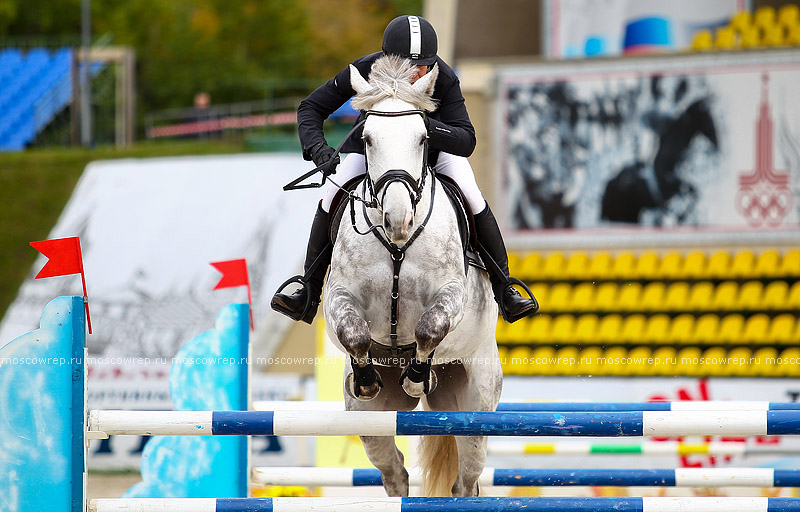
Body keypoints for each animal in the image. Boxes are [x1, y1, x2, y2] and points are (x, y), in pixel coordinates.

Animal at [324, 55, 500, 496]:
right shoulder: (339, 295)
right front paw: (365, 377)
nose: (398, 219)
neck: (397, 245)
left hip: (477, 402)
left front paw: (418, 378)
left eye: (423, 138)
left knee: (467, 479)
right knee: (394, 472)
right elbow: (353, 334)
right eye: (366, 138)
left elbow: (429, 327)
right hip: (371, 421)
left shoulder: (451, 294)